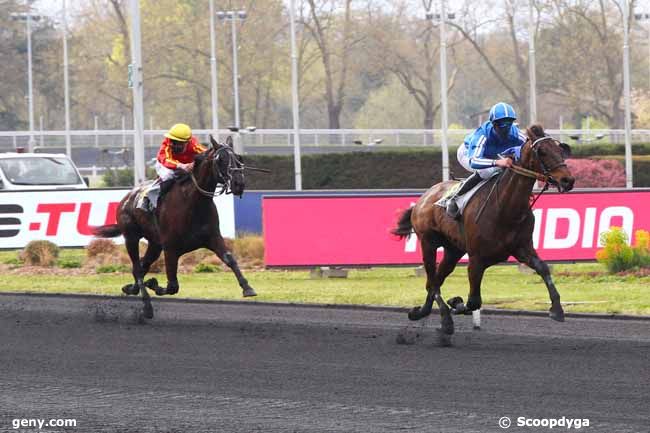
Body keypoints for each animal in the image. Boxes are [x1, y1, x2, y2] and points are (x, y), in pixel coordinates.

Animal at [93, 134, 256, 318]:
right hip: (131, 237)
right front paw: (153, 284)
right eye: (220, 159)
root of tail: (127, 197)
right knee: (137, 266)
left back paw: (131, 288)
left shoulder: (212, 237)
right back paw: (147, 306)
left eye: (238, 158)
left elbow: (230, 258)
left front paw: (247, 288)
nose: (238, 184)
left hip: (155, 244)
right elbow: (172, 286)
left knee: (141, 266)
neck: (193, 202)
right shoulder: (171, 248)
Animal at [390, 123, 572, 336]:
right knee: (433, 281)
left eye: (560, 149)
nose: (568, 180)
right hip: (428, 243)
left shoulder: (522, 248)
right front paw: (456, 303)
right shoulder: (476, 259)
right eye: (542, 151)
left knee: (435, 280)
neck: (506, 208)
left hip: (453, 250)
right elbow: (473, 301)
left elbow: (543, 268)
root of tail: (423, 198)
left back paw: (421, 312)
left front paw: (557, 309)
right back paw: (445, 319)